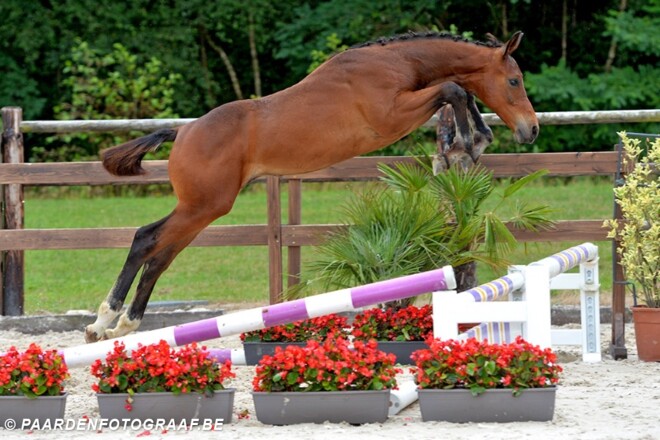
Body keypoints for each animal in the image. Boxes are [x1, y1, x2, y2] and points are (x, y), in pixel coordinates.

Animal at [85, 31, 539, 343]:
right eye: (514, 81)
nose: (531, 130)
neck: (396, 63)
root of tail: (182, 133)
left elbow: (456, 91)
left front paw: (474, 139)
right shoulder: (392, 116)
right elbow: (453, 89)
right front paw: (470, 139)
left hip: (202, 210)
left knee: (159, 255)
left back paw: (120, 325)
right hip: (203, 206)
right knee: (147, 241)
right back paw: (105, 319)